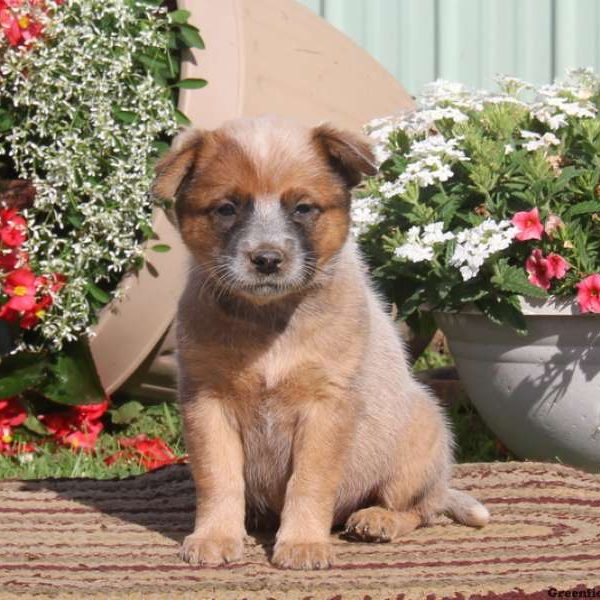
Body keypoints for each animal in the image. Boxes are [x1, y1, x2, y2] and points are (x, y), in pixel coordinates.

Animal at [152, 115, 490, 568]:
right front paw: (216, 536)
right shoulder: (207, 402)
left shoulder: (326, 407)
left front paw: (302, 544)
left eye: (303, 208)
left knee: (420, 510)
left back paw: (377, 520)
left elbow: (309, 482)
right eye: (226, 208)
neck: (271, 323)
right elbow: (218, 478)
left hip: (420, 439)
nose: (266, 259)